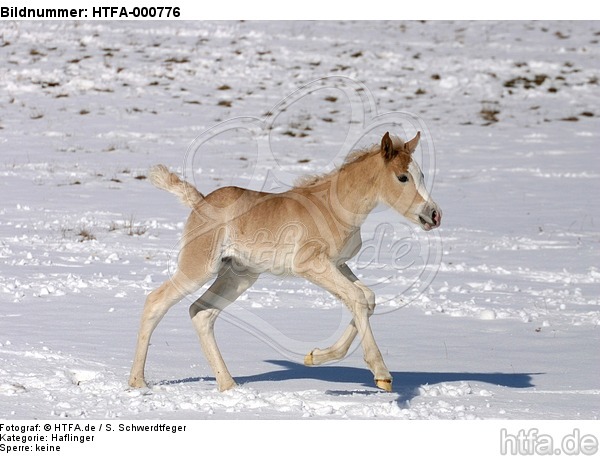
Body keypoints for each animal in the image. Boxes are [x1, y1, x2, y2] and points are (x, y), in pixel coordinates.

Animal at [130, 132, 440, 392]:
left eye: (421, 174)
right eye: (402, 177)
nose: (434, 214)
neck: (335, 207)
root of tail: (200, 202)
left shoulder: (338, 264)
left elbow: (366, 299)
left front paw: (314, 356)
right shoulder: (311, 265)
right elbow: (357, 298)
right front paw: (381, 374)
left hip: (239, 276)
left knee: (201, 312)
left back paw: (228, 386)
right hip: (199, 268)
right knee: (156, 301)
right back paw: (138, 382)